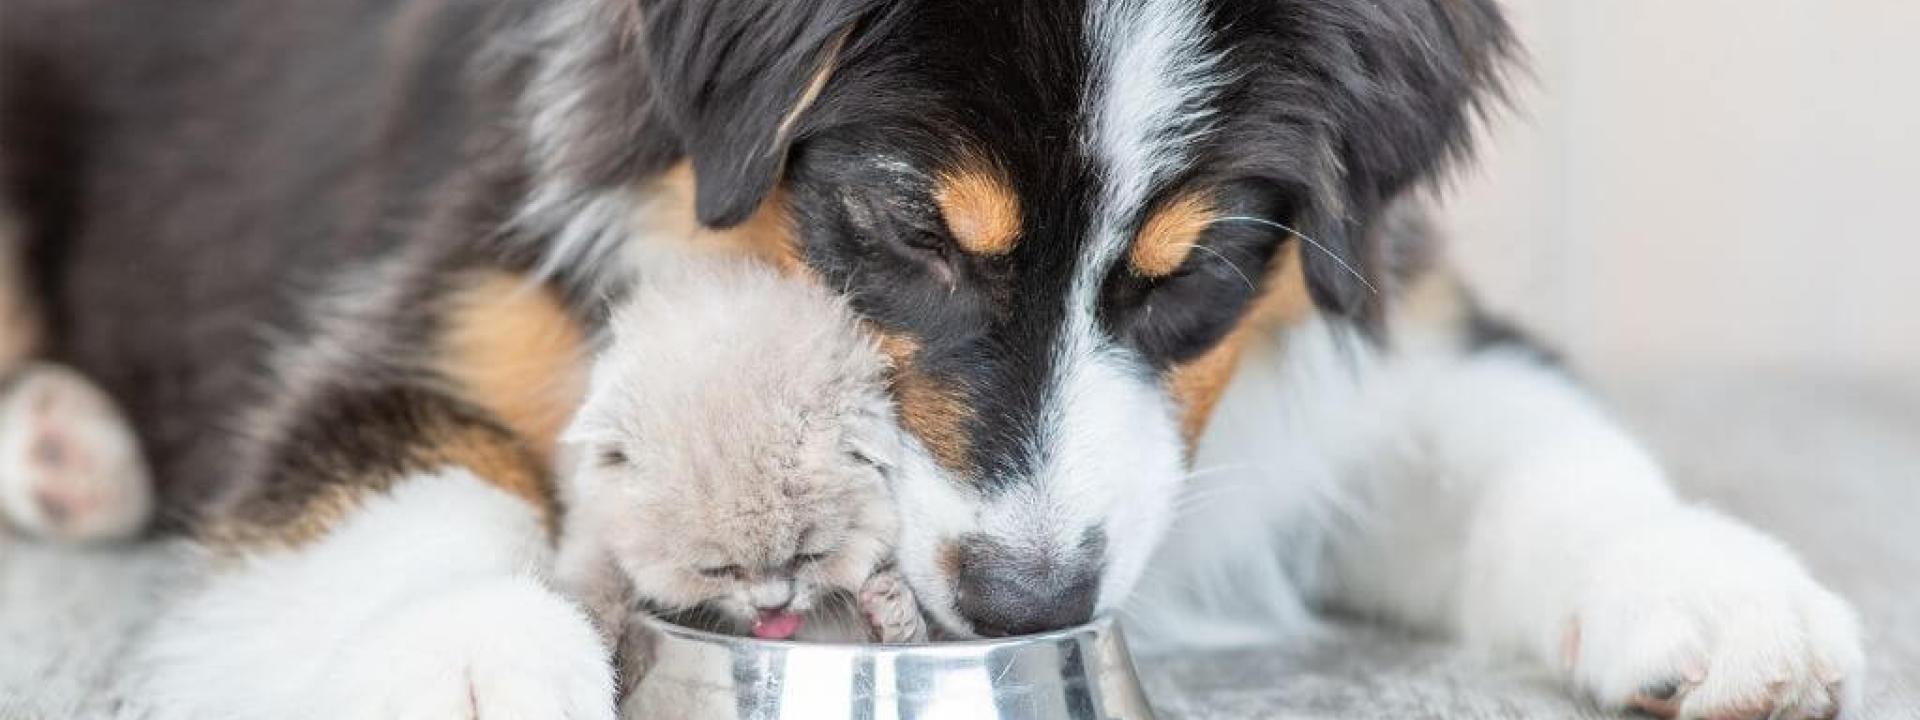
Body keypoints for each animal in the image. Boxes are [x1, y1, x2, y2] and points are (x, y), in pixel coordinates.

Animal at [552, 261, 925, 672]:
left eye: (809, 557)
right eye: (717, 571)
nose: (773, 607)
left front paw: (893, 611)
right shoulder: (595, 519)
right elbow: (593, 570)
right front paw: (588, 636)